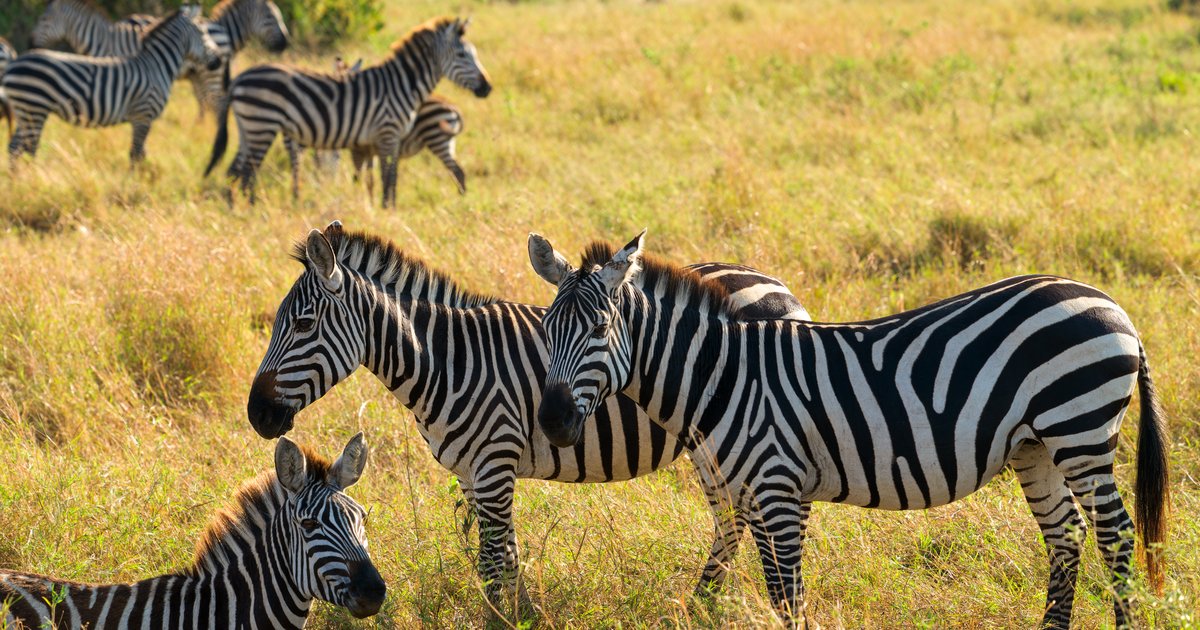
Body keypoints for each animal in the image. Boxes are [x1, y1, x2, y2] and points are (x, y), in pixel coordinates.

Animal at [3, 8, 222, 166]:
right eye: (203, 34)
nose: (219, 61)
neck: (156, 65)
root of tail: (14, 63)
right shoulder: (143, 115)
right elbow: (136, 155)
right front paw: (134, 187)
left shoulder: (142, 118)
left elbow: (141, 154)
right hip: (34, 108)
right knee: (28, 149)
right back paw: (33, 180)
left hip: (26, 110)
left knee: (14, 148)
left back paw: (18, 182)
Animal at [205, 16, 490, 208]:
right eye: (463, 55)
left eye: (474, 53)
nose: (488, 88)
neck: (401, 84)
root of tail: (239, 79)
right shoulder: (387, 133)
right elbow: (388, 177)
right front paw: (388, 211)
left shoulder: (378, 140)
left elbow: (382, 177)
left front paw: (383, 208)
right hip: (262, 124)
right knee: (248, 172)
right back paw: (253, 209)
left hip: (249, 127)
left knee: (235, 170)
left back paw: (236, 208)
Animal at [244, 221, 808, 610]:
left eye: (302, 324)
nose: (256, 415)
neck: (448, 361)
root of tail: (777, 283)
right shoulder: (473, 473)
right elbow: (503, 558)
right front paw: (519, 614)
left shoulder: (495, 464)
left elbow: (494, 561)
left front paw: (509, 617)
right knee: (733, 520)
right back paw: (702, 604)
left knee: (737, 519)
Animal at [527, 230, 1170, 629]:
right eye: (546, 329)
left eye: (600, 330)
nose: (553, 421)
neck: (723, 375)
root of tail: (1114, 306)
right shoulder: (758, 495)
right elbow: (775, 587)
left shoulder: (779, 488)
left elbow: (788, 595)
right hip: (1035, 446)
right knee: (1066, 536)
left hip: (1079, 429)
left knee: (1115, 535)